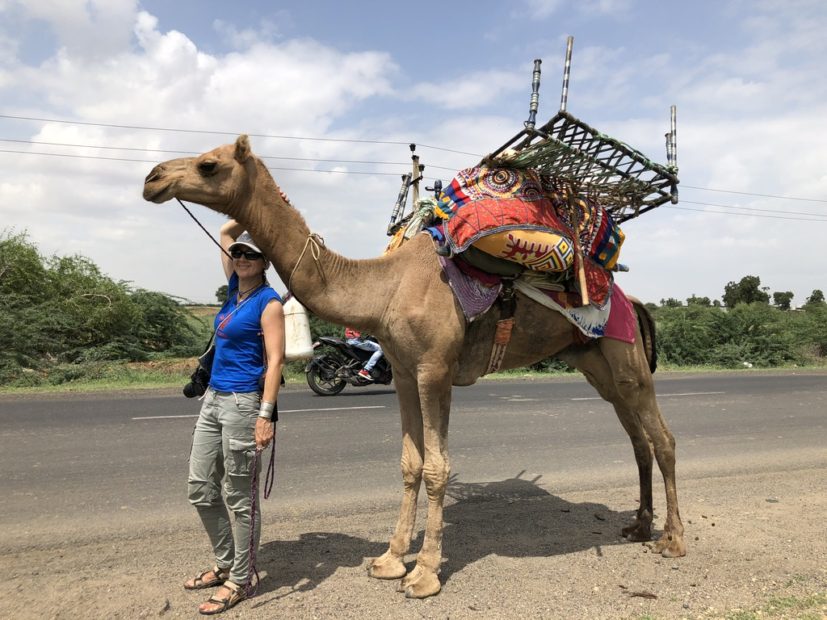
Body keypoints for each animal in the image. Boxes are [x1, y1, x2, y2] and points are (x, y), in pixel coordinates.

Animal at [142, 133, 684, 600]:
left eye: (209, 164)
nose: (152, 178)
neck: (383, 287)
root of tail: (633, 301)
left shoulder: (434, 370)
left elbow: (439, 468)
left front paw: (424, 573)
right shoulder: (404, 372)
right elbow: (410, 463)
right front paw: (389, 559)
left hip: (625, 355)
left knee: (662, 438)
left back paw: (672, 539)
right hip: (597, 365)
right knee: (637, 437)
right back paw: (638, 525)